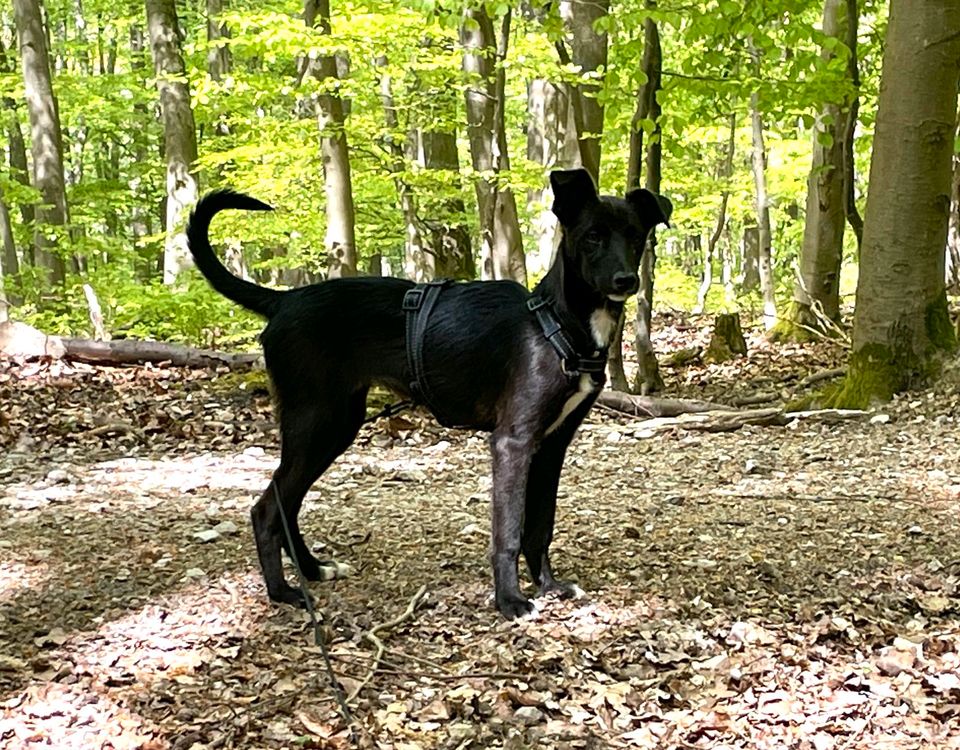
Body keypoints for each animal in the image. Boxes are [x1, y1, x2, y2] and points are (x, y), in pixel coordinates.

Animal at [186, 170, 668, 624]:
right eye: (593, 236)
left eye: (635, 236)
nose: (626, 279)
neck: (556, 323)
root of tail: (283, 301)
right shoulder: (513, 442)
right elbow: (509, 530)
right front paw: (510, 601)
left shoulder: (552, 446)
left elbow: (540, 526)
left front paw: (548, 586)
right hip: (315, 422)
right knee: (267, 508)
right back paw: (283, 593)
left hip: (335, 426)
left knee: (286, 504)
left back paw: (312, 571)